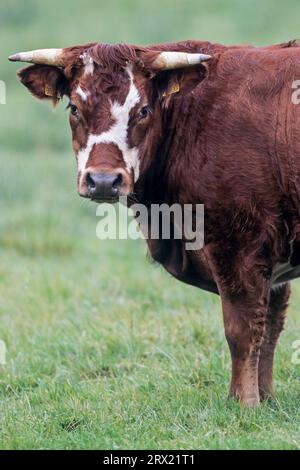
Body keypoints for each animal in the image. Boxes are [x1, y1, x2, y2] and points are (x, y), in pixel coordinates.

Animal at [9, 40, 300, 406]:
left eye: (144, 111)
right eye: (74, 108)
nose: (103, 181)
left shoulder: (238, 244)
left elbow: (243, 330)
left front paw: (244, 403)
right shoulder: (272, 258)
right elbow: (271, 327)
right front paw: (266, 399)